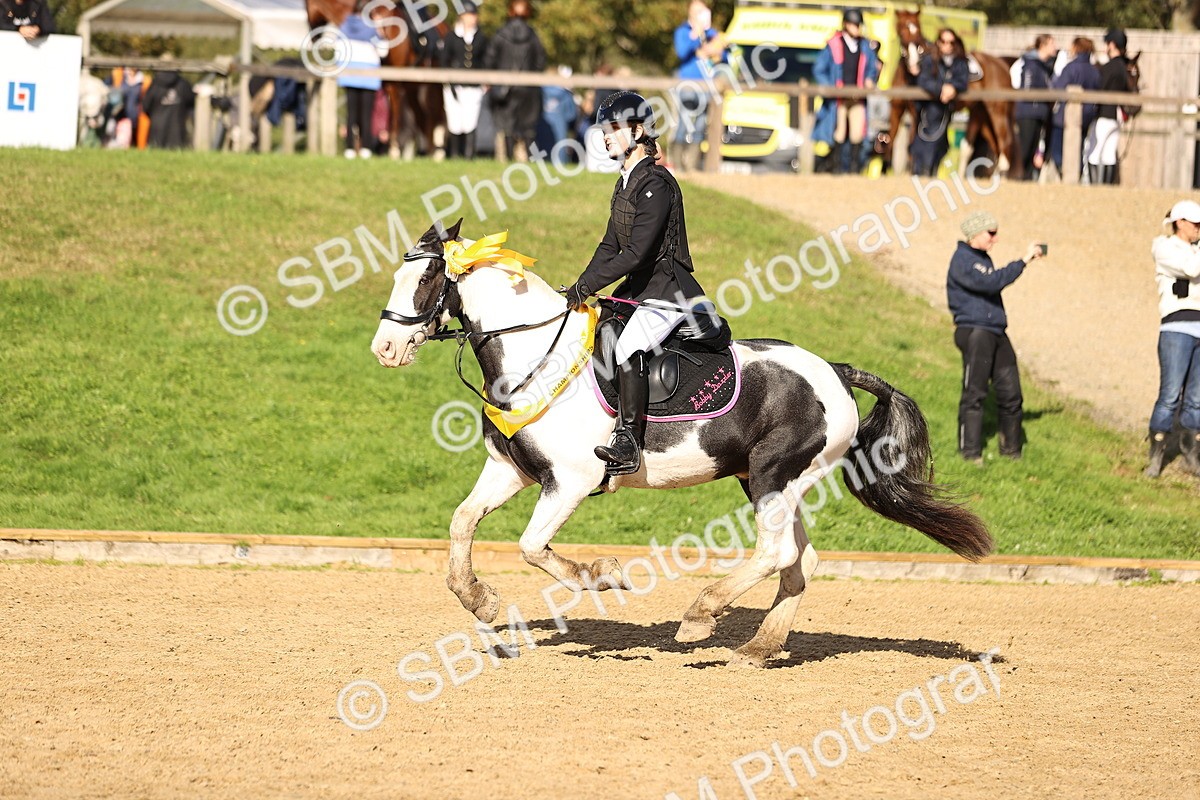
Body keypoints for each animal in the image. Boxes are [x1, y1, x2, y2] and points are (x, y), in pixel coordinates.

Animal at [304, 0, 447, 160]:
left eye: (306, 8)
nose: (314, 38)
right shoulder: (379, 85)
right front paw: (359, 149)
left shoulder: (394, 84)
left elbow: (393, 118)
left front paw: (393, 151)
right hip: (413, 87)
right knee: (422, 116)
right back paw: (424, 152)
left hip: (433, 86)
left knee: (436, 114)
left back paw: (437, 153)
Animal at [369, 219, 994, 668]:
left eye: (423, 281)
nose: (385, 349)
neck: (533, 357)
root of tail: (836, 372)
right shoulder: (511, 470)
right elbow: (461, 523)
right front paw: (481, 600)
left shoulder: (569, 482)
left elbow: (531, 546)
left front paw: (602, 575)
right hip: (771, 482)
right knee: (799, 559)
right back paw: (758, 648)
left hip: (774, 476)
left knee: (775, 554)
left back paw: (700, 617)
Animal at [881, 10, 1018, 178]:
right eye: (901, 29)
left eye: (918, 29)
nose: (914, 60)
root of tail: (1002, 66)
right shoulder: (896, 109)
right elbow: (891, 139)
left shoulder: (916, 114)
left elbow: (912, 145)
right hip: (981, 115)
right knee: (993, 146)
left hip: (997, 112)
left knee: (1004, 143)